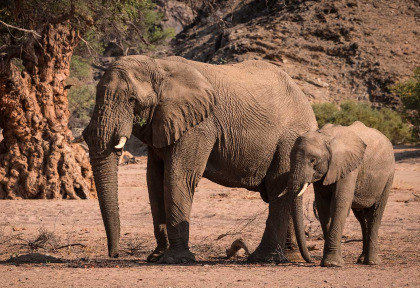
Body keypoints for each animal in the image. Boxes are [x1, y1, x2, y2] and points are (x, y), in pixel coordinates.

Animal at [82, 54, 316, 264]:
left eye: (132, 100)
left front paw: (175, 260)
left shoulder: (199, 126)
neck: (158, 65)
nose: (114, 254)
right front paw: (156, 257)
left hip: (289, 140)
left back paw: (263, 259)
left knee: (277, 188)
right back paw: (290, 257)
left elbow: (178, 177)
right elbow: (154, 181)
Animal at [288, 120, 394, 266]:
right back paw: (362, 260)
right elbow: (323, 207)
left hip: (388, 176)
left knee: (376, 213)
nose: (310, 260)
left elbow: (339, 204)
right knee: (362, 218)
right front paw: (330, 261)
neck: (324, 137)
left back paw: (372, 262)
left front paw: (332, 264)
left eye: (313, 160)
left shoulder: (348, 166)